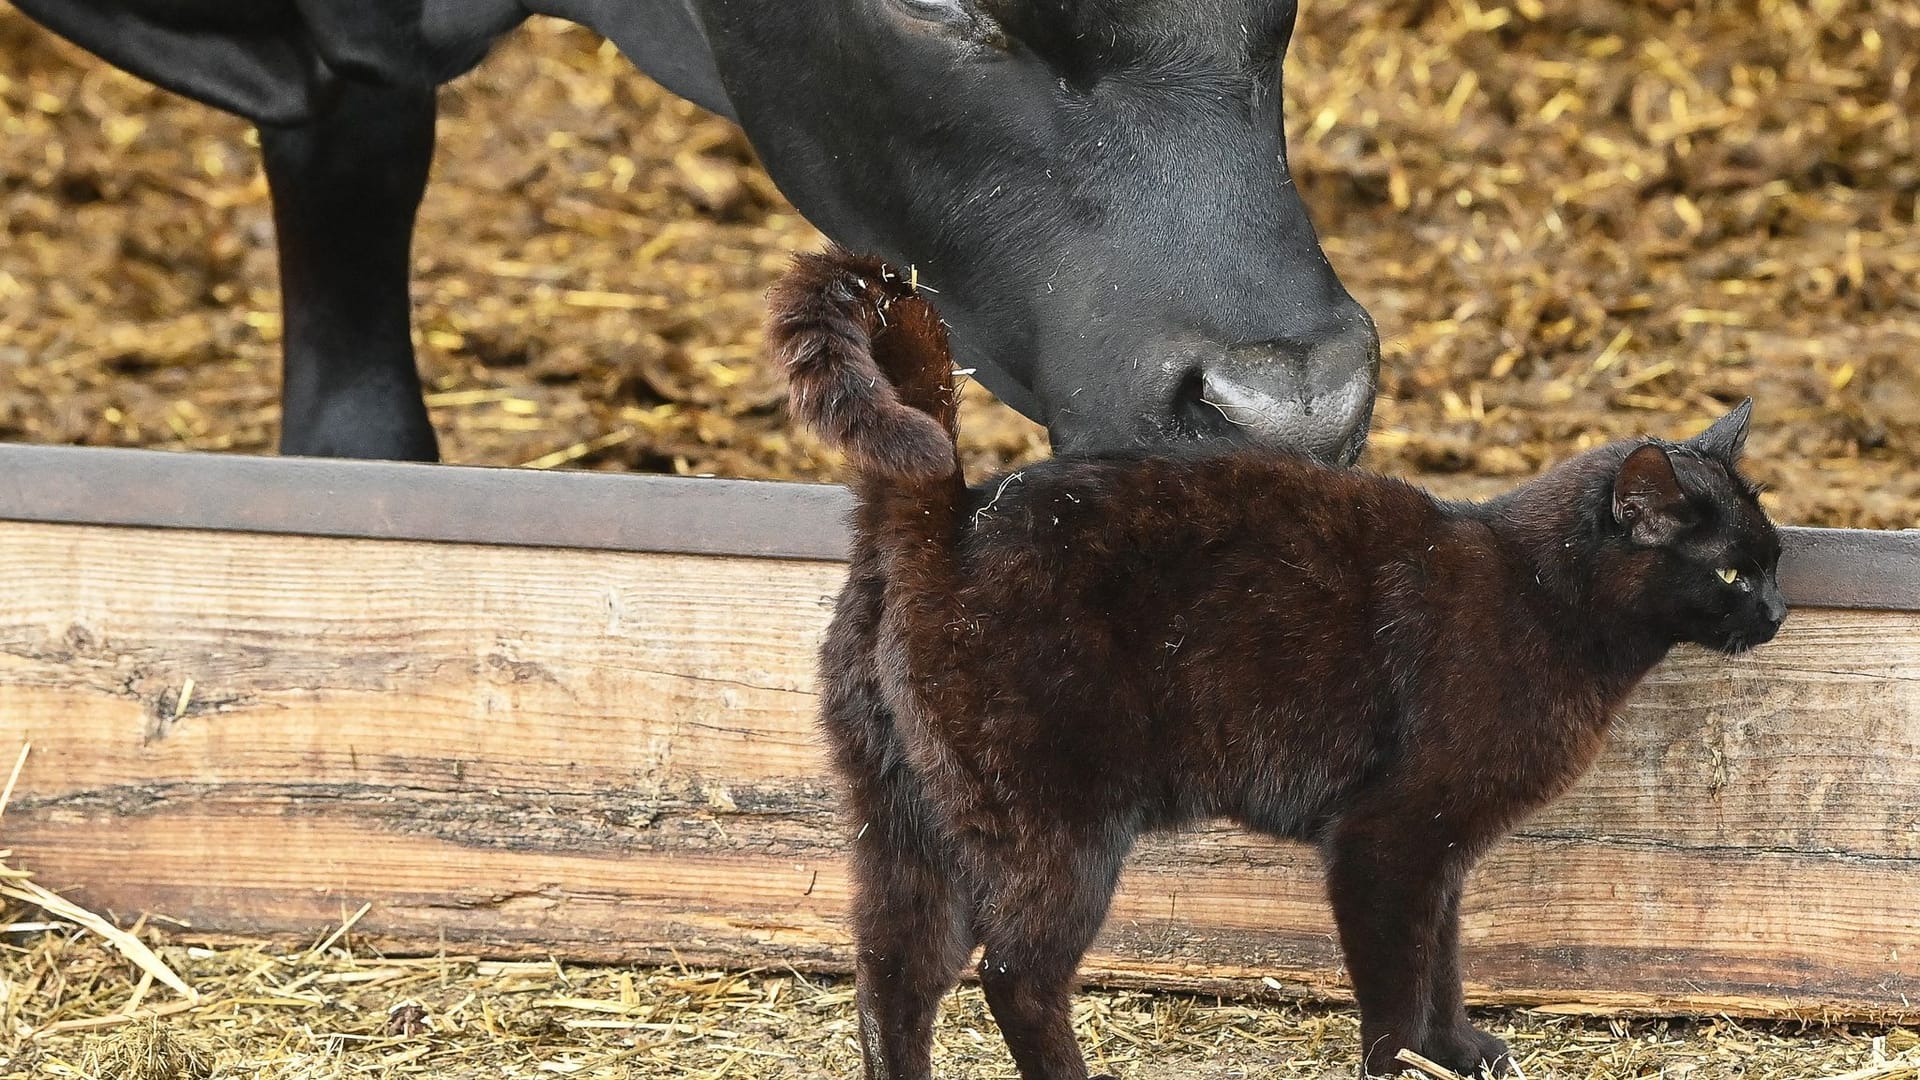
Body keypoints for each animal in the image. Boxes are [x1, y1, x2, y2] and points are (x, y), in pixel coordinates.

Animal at [771, 247, 1789, 1068]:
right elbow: (1395, 983)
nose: (1779, 611)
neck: (1539, 593)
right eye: (1732, 571)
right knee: (1015, 974)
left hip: (898, 819)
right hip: (1055, 826)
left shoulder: (1443, 845)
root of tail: (949, 517)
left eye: (1775, 558)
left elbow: (1444, 958)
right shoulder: (1385, 838)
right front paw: (1402, 1065)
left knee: (893, 973)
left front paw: (1455, 1051)